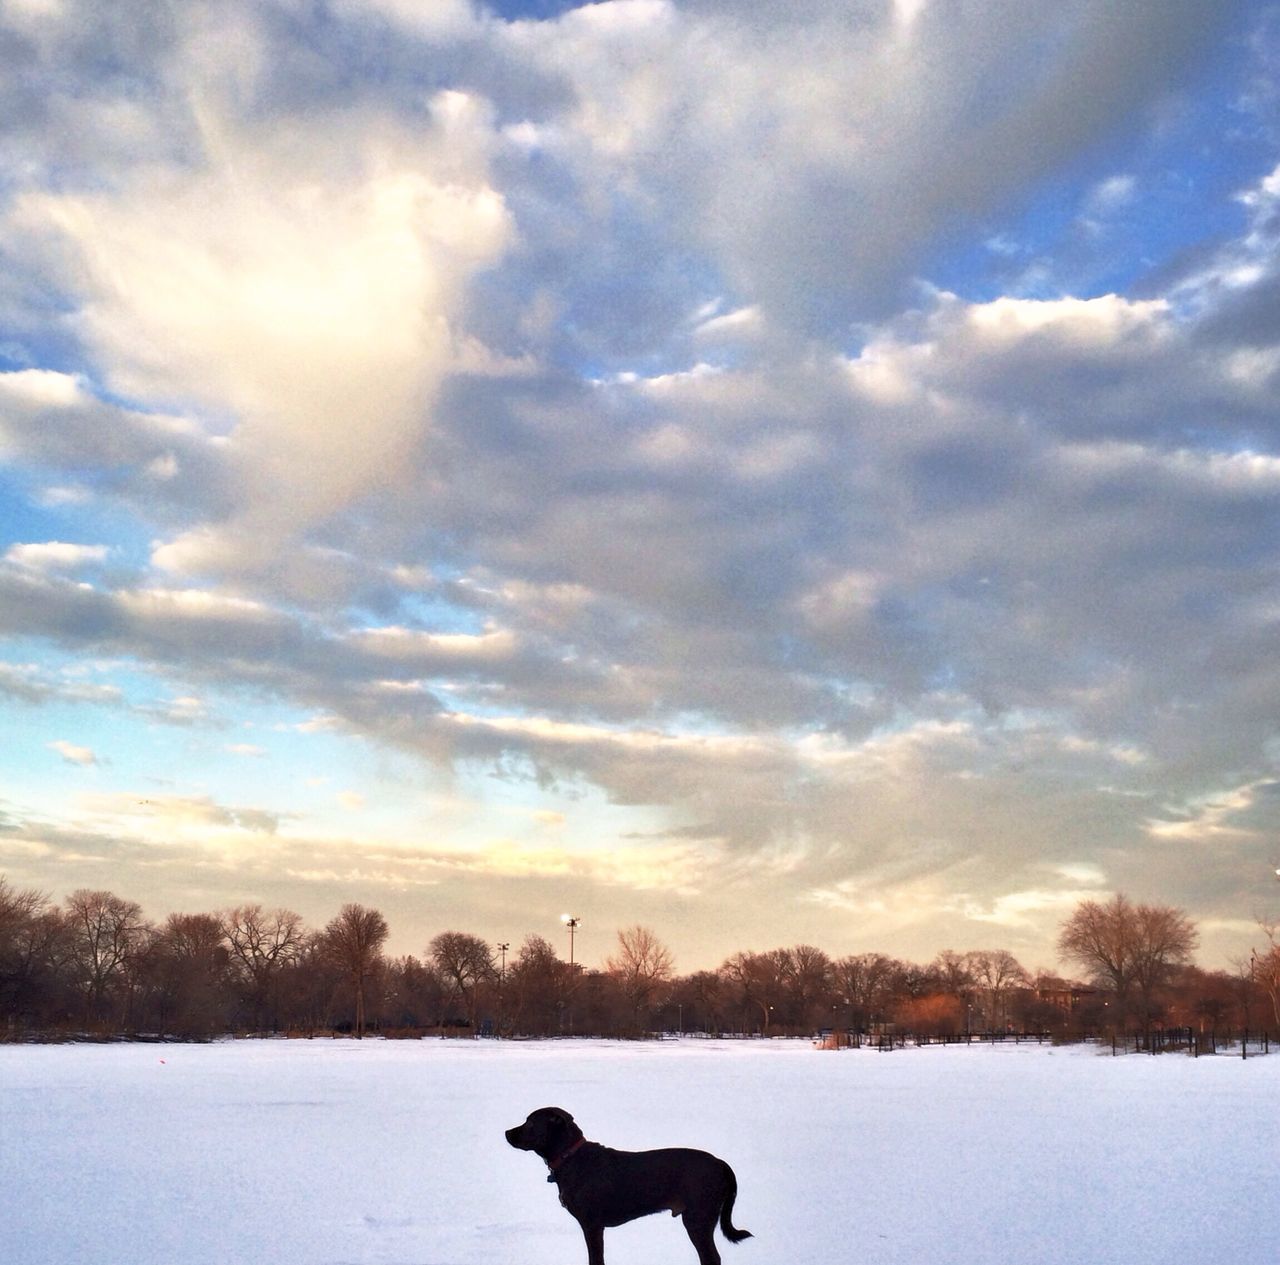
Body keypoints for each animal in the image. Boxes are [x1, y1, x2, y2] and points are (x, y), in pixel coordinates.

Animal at [506, 1106, 752, 1265]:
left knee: (711, 1258)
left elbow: (596, 1259)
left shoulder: (592, 1225)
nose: (506, 1132)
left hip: (698, 1218)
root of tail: (721, 1164)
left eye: (530, 1122)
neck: (570, 1157)